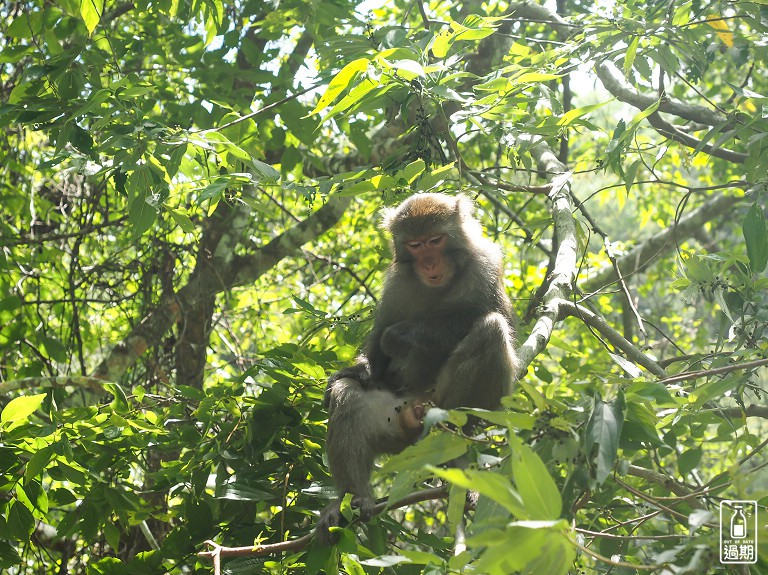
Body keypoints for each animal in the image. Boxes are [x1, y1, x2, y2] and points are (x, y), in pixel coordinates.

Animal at [316, 194, 520, 544]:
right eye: (415, 245)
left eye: (435, 241)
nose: (429, 265)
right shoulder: (397, 283)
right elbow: (377, 344)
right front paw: (361, 369)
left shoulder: (486, 263)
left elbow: (493, 314)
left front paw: (402, 335)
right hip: (391, 424)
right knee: (350, 396)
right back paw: (353, 498)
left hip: (445, 401)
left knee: (491, 330)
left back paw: (454, 440)